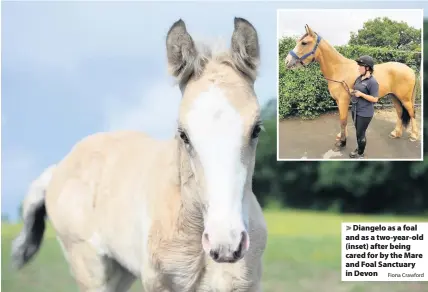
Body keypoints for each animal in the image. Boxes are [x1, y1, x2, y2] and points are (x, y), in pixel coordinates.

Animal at [11, 17, 268, 292]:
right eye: (183, 134)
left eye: (256, 129)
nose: (226, 244)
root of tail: (58, 168)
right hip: (90, 268)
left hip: (120, 272)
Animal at [282, 24, 420, 149]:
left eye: (304, 43)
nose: (287, 61)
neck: (339, 70)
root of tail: (410, 70)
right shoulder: (339, 101)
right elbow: (342, 120)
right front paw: (341, 136)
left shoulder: (344, 100)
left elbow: (343, 120)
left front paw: (342, 142)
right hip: (394, 96)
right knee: (400, 112)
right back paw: (396, 133)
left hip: (405, 99)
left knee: (411, 113)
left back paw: (414, 136)